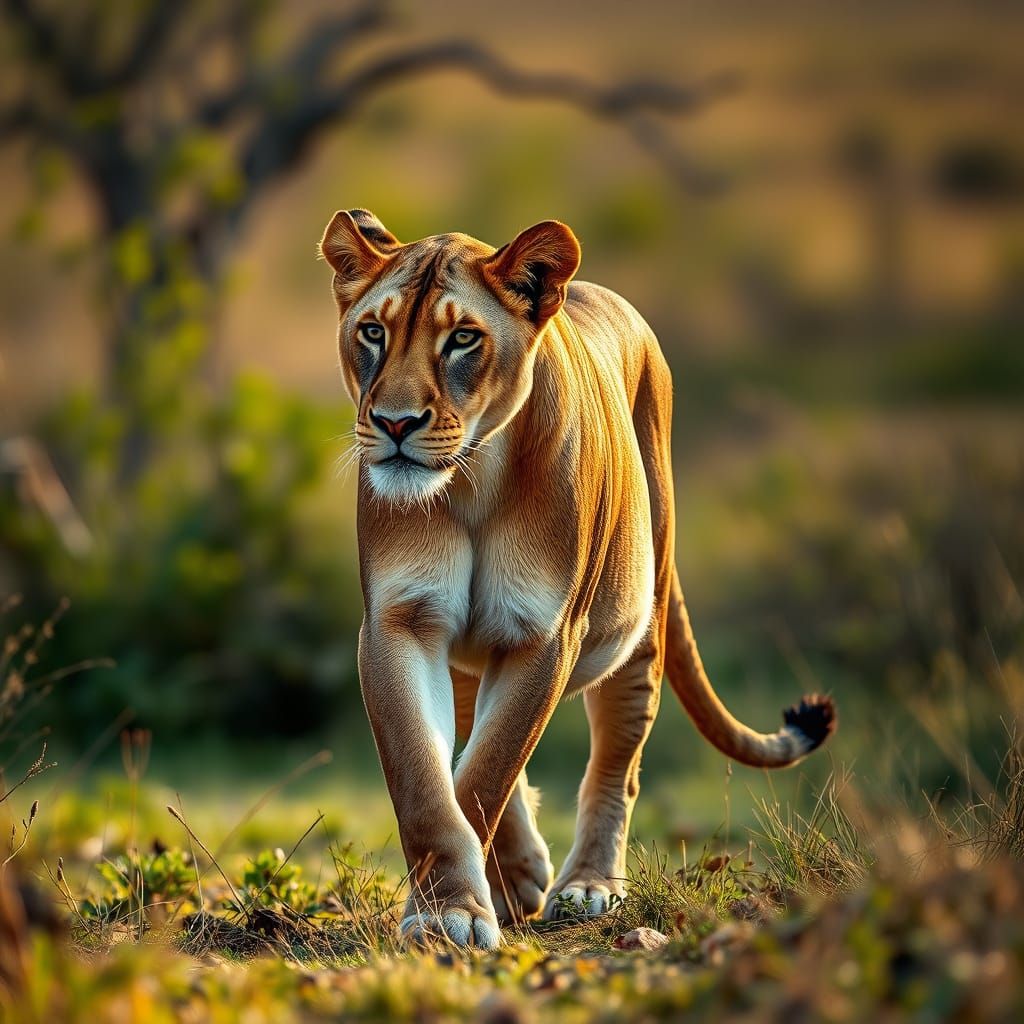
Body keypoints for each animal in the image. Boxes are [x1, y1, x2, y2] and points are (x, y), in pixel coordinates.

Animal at [319, 208, 836, 949]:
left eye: (463, 338)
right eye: (373, 331)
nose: (394, 424)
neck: (473, 480)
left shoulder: (544, 636)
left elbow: (485, 772)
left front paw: (456, 909)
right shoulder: (400, 622)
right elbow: (429, 780)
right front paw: (453, 908)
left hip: (641, 625)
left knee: (616, 767)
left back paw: (586, 886)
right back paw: (520, 874)